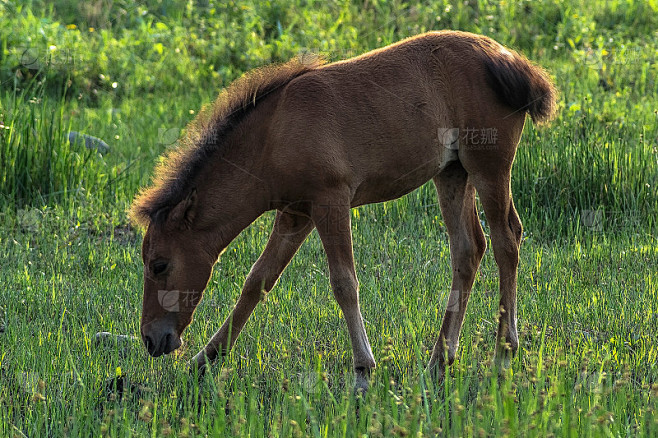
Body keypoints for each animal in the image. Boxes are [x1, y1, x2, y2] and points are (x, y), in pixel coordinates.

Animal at [130, 30, 557, 392]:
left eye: (159, 265)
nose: (151, 339)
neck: (272, 135)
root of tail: (510, 61)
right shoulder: (296, 214)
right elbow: (257, 281)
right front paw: (205, 359)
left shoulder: (330, 202)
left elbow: (344, 284)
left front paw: (364, 371)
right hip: (452, 174)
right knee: (468, 250)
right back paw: (440, 360)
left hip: (489, 167)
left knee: (506, 240)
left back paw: (504, 354)